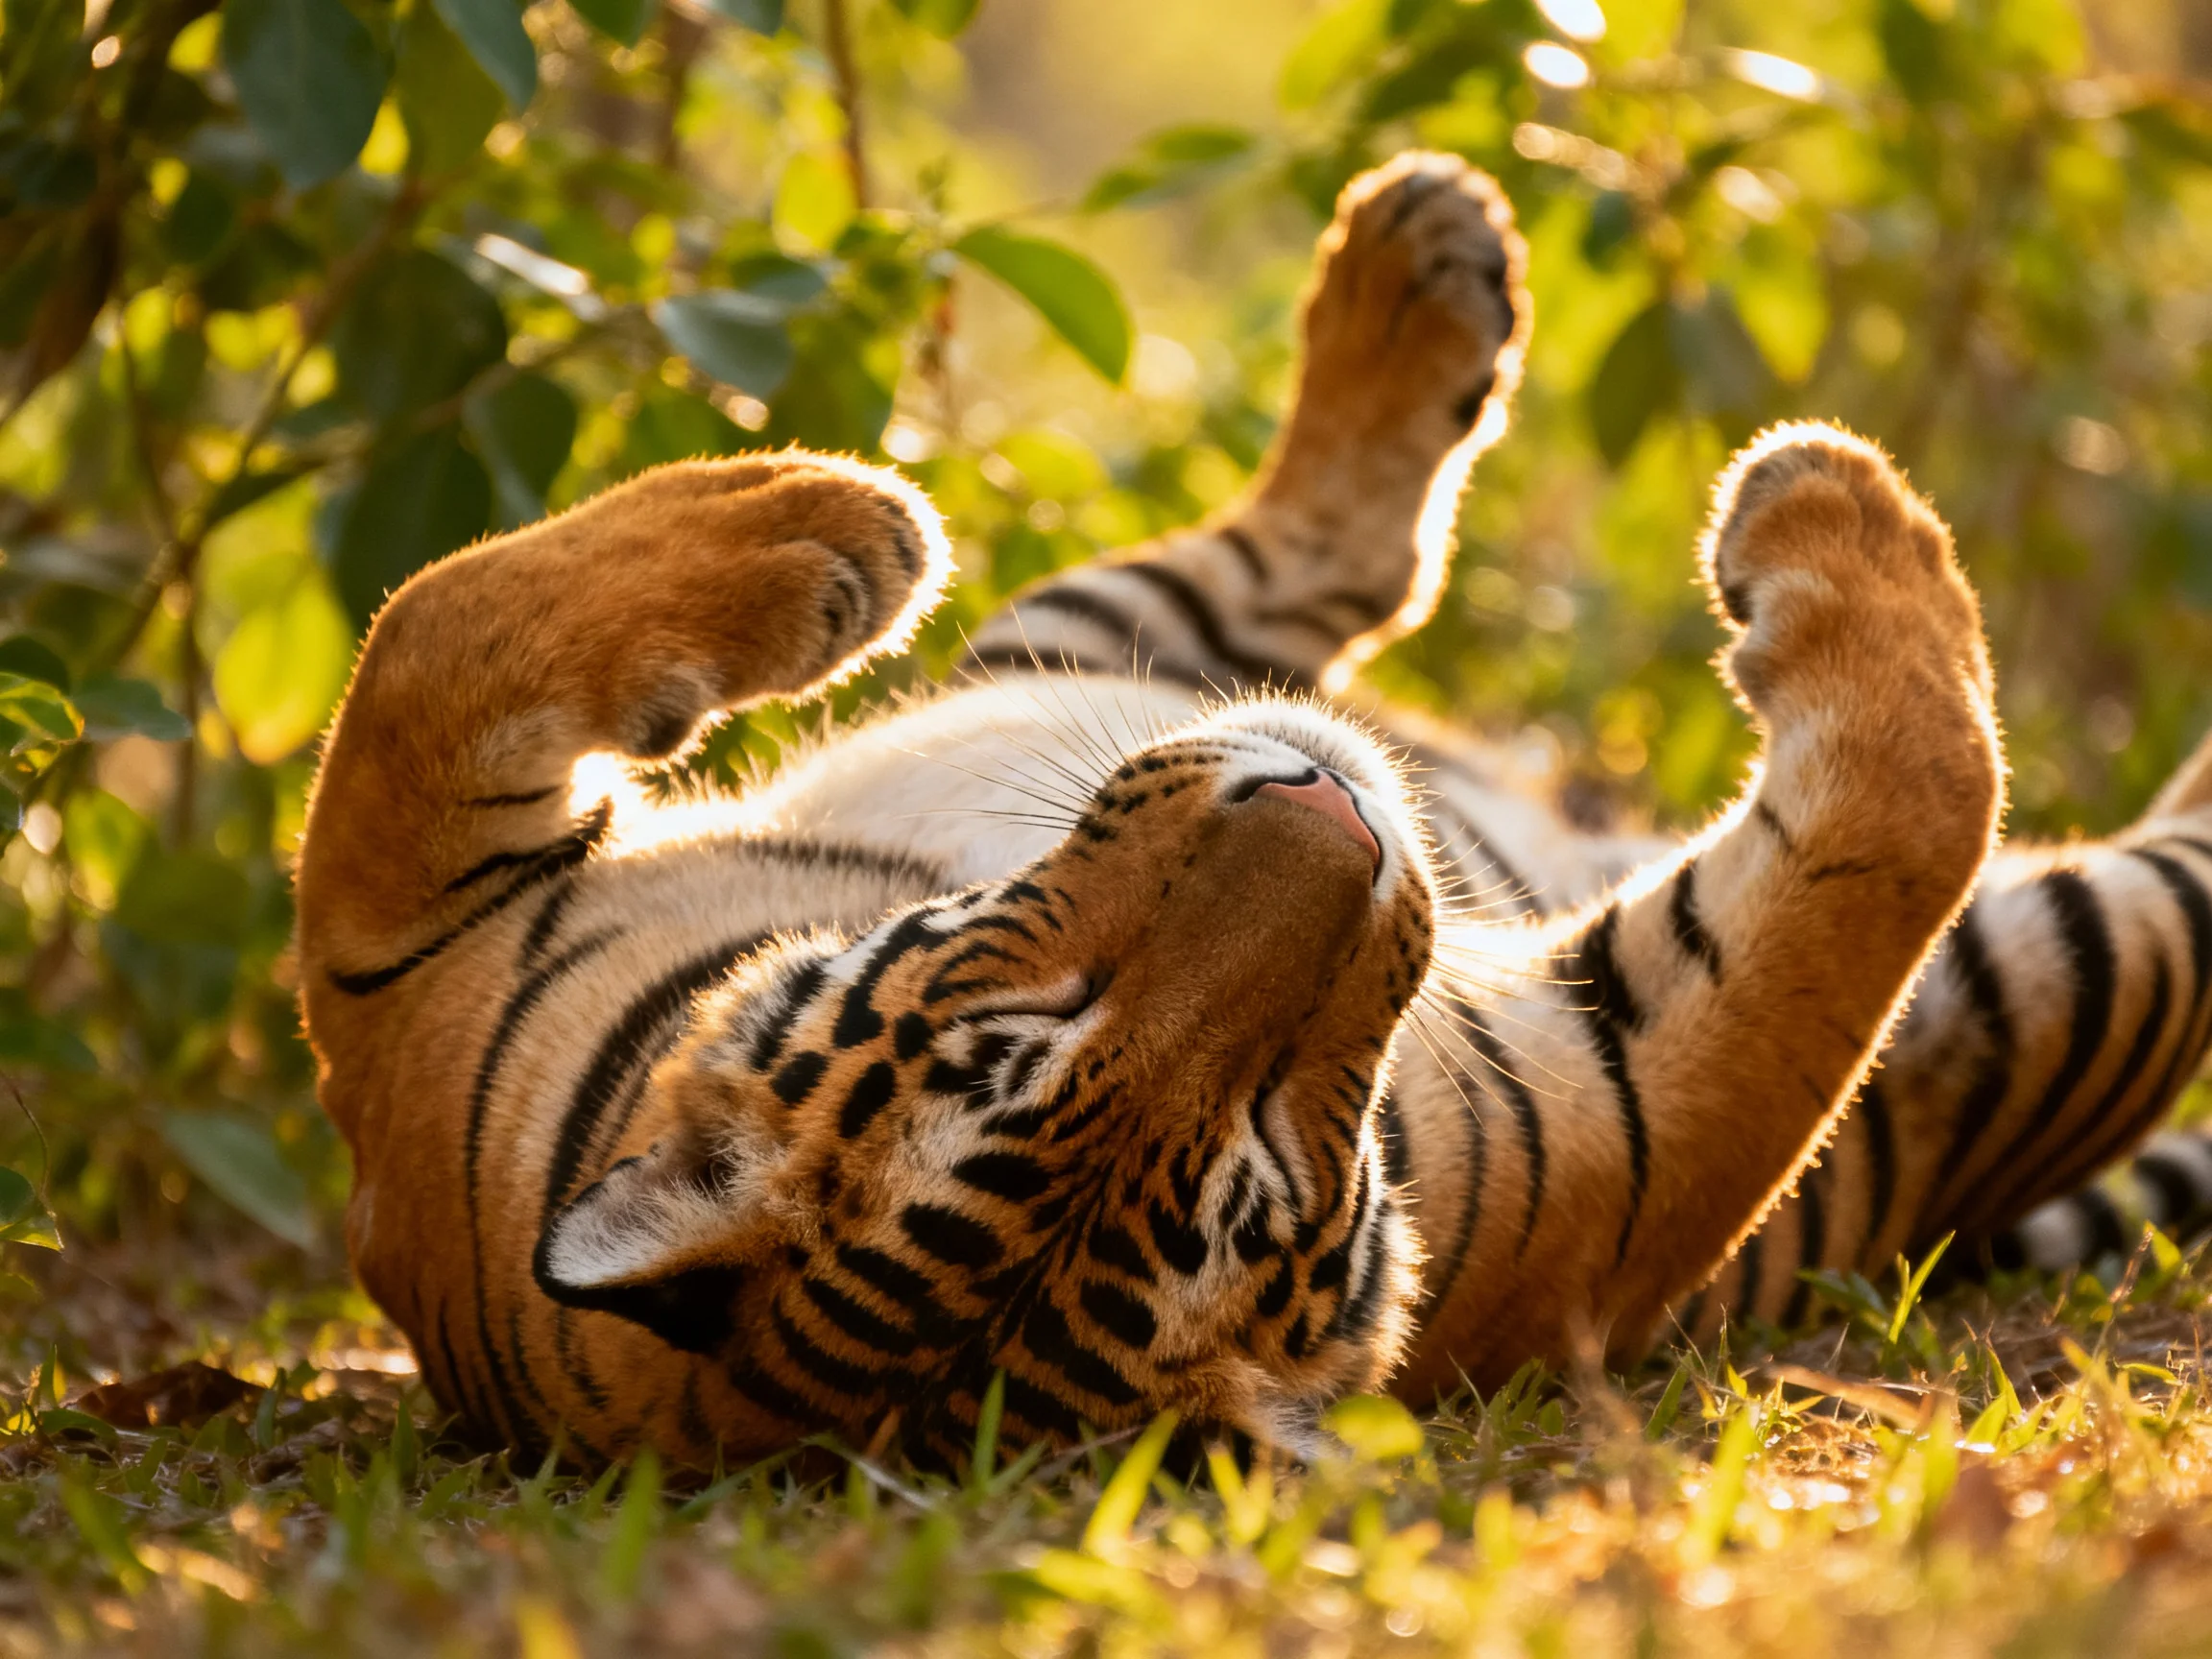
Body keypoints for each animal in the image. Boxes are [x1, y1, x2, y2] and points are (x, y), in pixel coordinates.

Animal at [293, 152, 2212, 1469]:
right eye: (1252, 1175)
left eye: (1012, 1022)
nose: (1337, 821)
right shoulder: (1644, 1127)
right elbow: (1905, 817)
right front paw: (1827, 509)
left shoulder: (398, 949)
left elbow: (425, 622)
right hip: (2057, 977)